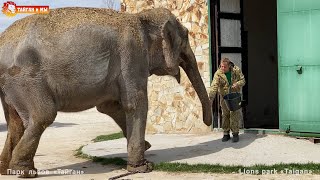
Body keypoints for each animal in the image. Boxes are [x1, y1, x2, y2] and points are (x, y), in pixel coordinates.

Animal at [0, 6, 212, 177]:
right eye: (185, 38)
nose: (207, 122)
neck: (141, 17)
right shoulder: (132, 55)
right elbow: (135, 103)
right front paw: (143, 168)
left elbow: (109, 106)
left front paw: (147, 146)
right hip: (26, 79)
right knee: (42, 116)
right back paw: (25, 172)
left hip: (10, 87)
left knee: (15, 123)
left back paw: (7, 170)